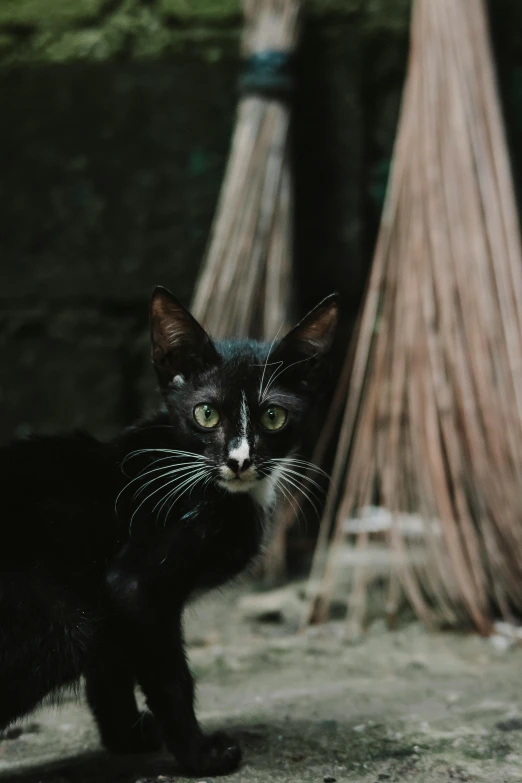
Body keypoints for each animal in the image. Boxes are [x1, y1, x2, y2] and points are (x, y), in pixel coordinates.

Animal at [0, 290, 338, 776]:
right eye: (206, 413)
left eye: (273, 416)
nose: (239, 460)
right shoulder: (137, 584)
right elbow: (169, 678)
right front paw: (201, 755)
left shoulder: (113, 607)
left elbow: (110, 670)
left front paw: (125, 738)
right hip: (60, 621)